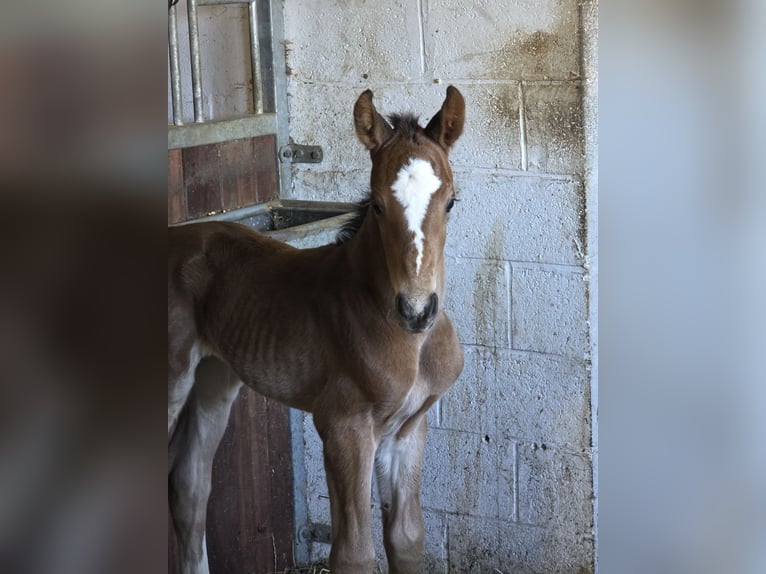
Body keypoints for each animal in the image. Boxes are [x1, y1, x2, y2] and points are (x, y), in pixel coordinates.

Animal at [168, 86, 466, 574]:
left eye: (451, 202)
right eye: (378, 204)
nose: (417, 310)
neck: (413, 345)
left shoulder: (408, 430)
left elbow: (406, 539)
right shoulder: (343, 426)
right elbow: (354, 554)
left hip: (214, 377)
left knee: (190, 482)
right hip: (174, 379)